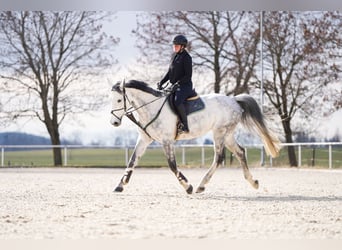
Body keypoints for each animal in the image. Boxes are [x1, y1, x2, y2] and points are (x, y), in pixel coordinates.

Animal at [111, 80, 280, 193]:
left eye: (119, 100)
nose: (114, 122)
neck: (151, 107)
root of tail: (234, 100)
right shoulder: (144, 139)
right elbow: (132, 160)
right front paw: (120, 185)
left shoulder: (167, 141)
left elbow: (172, 165)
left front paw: (188, 187)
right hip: (227, 134)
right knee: (240, 152)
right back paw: (253, 182)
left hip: (219, 133)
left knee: (219, 158)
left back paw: (201, 185)